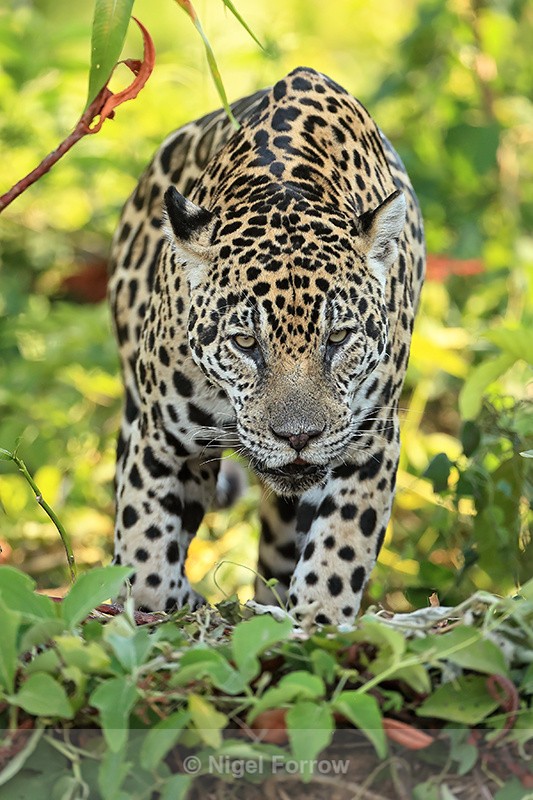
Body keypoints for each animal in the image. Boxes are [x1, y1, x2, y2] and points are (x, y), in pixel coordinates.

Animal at [108, 66, 425, 626]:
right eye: (244, 342)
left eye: (338, 337)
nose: (298, 437)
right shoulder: (160, 439)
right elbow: (145, 562)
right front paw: (161, 606)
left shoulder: (371, 442)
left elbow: (340, 548)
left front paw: (317, 622)